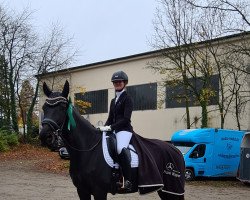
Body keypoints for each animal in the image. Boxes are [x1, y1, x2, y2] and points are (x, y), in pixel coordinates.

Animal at [38, 80, 184, 199]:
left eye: (62, 108)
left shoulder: (99, 191)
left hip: (174, 190)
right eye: (44, 107)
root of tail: (176, 149)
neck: (87, 150)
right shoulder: (82, 190)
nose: (45, 136)